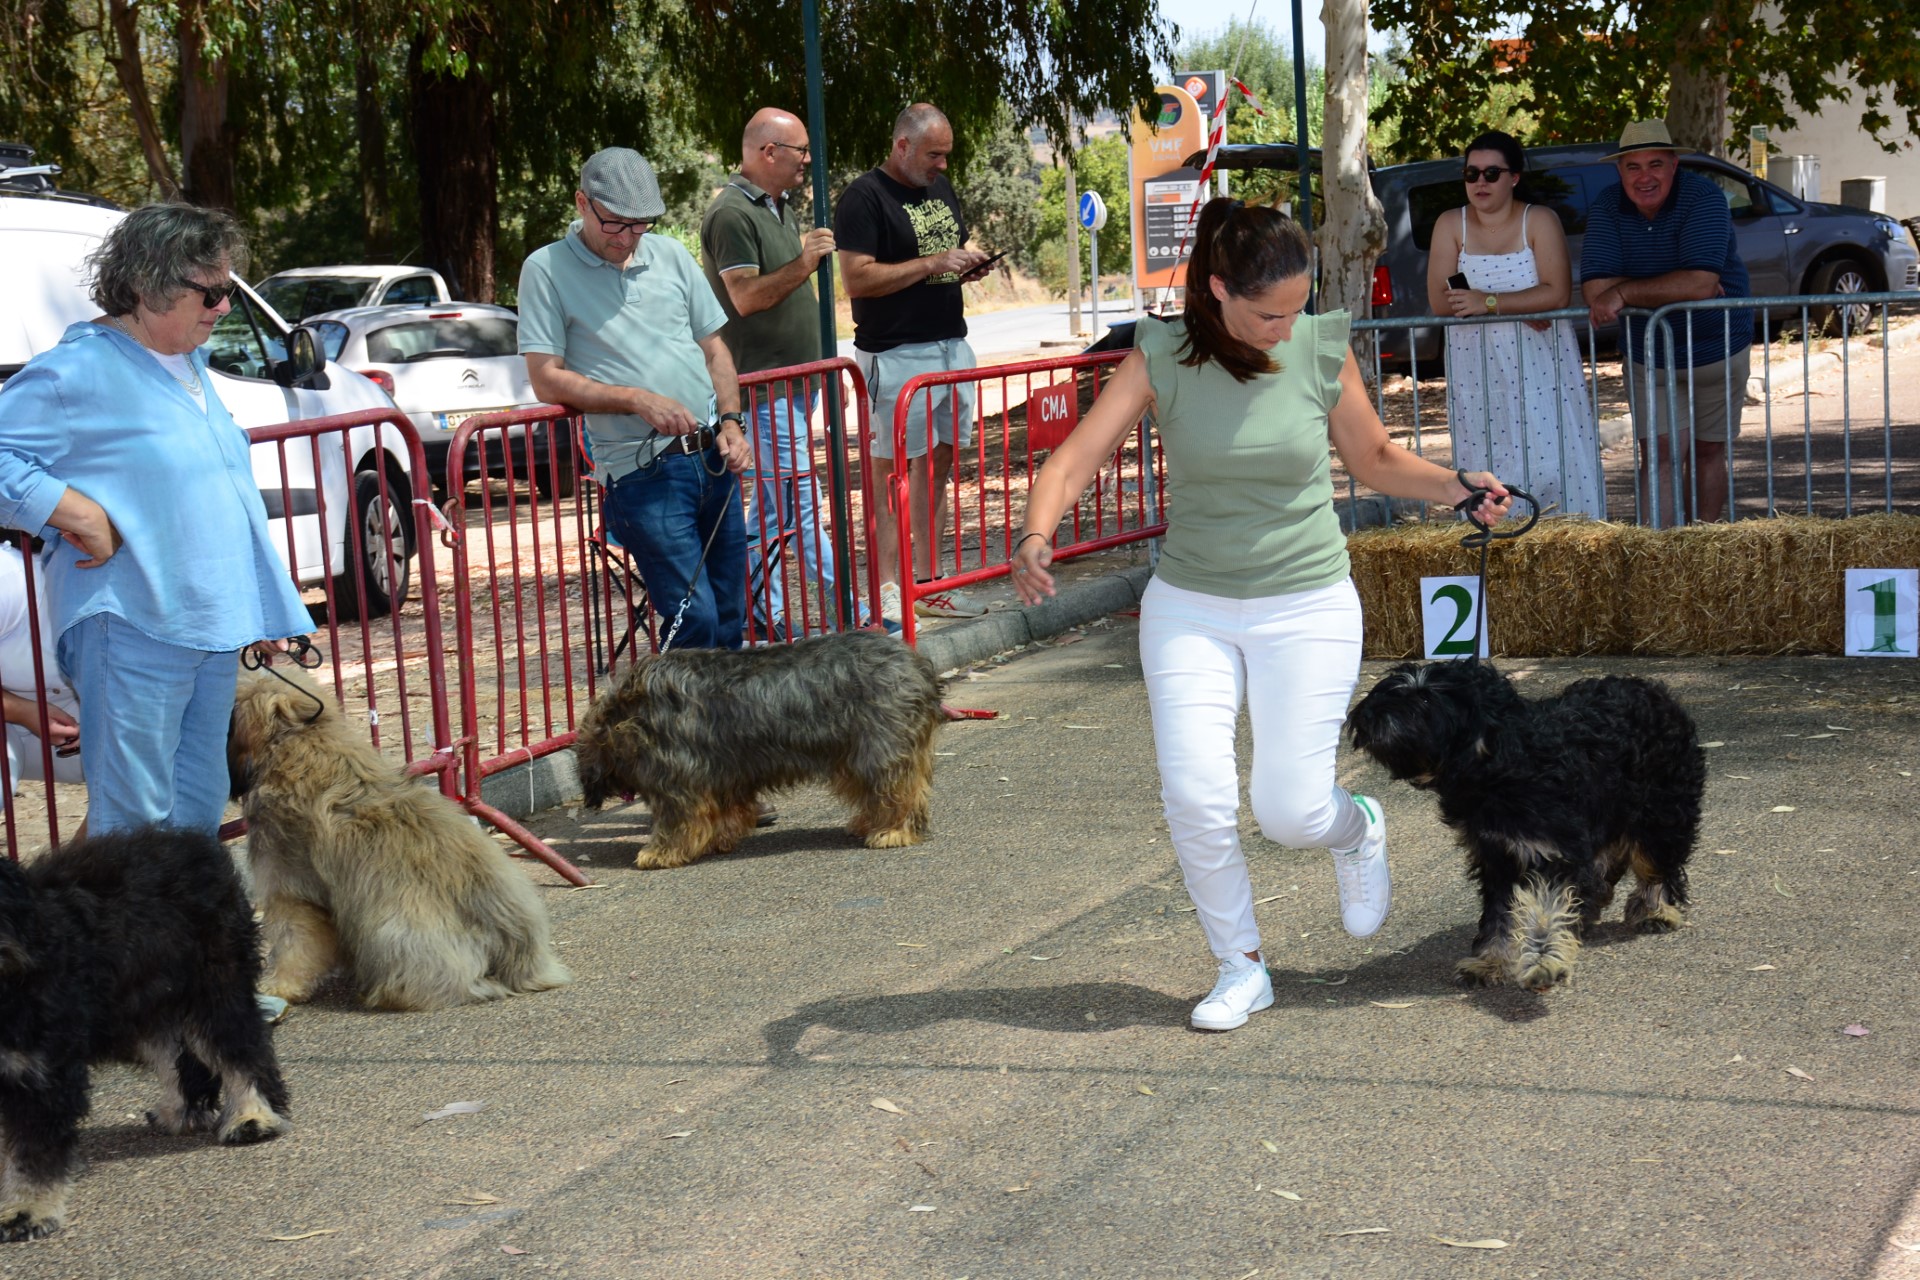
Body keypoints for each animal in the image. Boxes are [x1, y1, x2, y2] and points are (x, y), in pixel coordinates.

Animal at [0, 832, 291, 1243]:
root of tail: (197, 843)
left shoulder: (39, 1074)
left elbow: (32, 1154)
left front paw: (27, 1210)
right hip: (146, 1002)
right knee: (178, 1058)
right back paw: (180, 1111)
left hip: (212, 990)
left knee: (241, 1049)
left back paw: (252, 1116)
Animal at [225, 671, 568, 1013]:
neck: (295, 741)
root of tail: (513, 950)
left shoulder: (291, 886)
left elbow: (294, 939)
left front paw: (280, 986)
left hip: (389, 929)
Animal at [576, 629, 952, 871]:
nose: (592, 796)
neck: (633, 713)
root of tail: (917, 665)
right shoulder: (723, 774)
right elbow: (723, 814)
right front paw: (718, 839)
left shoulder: (679, 780)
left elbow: (678, 820)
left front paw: (658, 853)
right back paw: (870, 823)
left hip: (880, 749)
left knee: (897, 790)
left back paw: (893, 830)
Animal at [1344, 660, 1704, 990]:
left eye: (1425, 699)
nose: (1365, 713)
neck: (1502, 764)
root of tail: (1652, 689)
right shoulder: (1498, 856)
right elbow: (1502, 915)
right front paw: (1491, 962)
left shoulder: (1552, 852)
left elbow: (1546, 910)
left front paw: (1545, 962)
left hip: (1661, 811)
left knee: (1656, 863)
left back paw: (1654, 910)